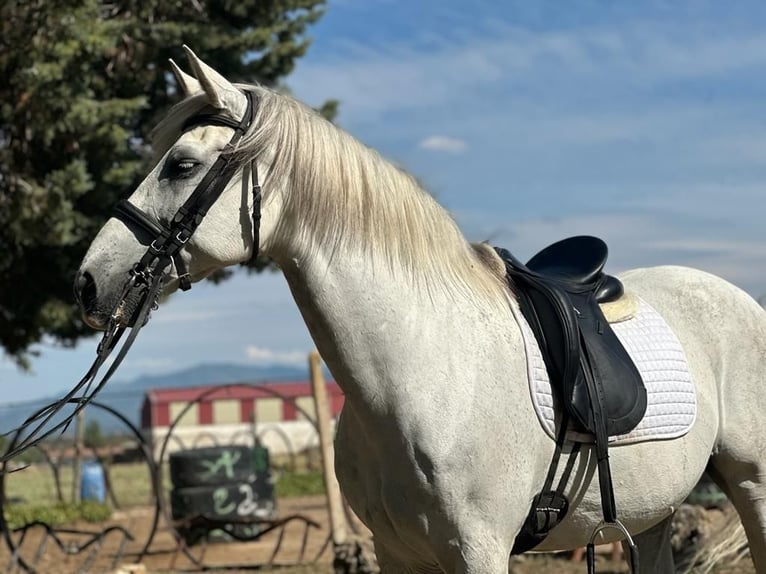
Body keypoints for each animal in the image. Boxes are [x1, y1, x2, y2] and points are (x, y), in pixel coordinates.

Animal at [75, 47, 766, 572]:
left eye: (181, 164)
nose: (87, 283)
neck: (422, 370)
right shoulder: (396, 553)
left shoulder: (478, 551)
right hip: (654, 515)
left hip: (752, 486)